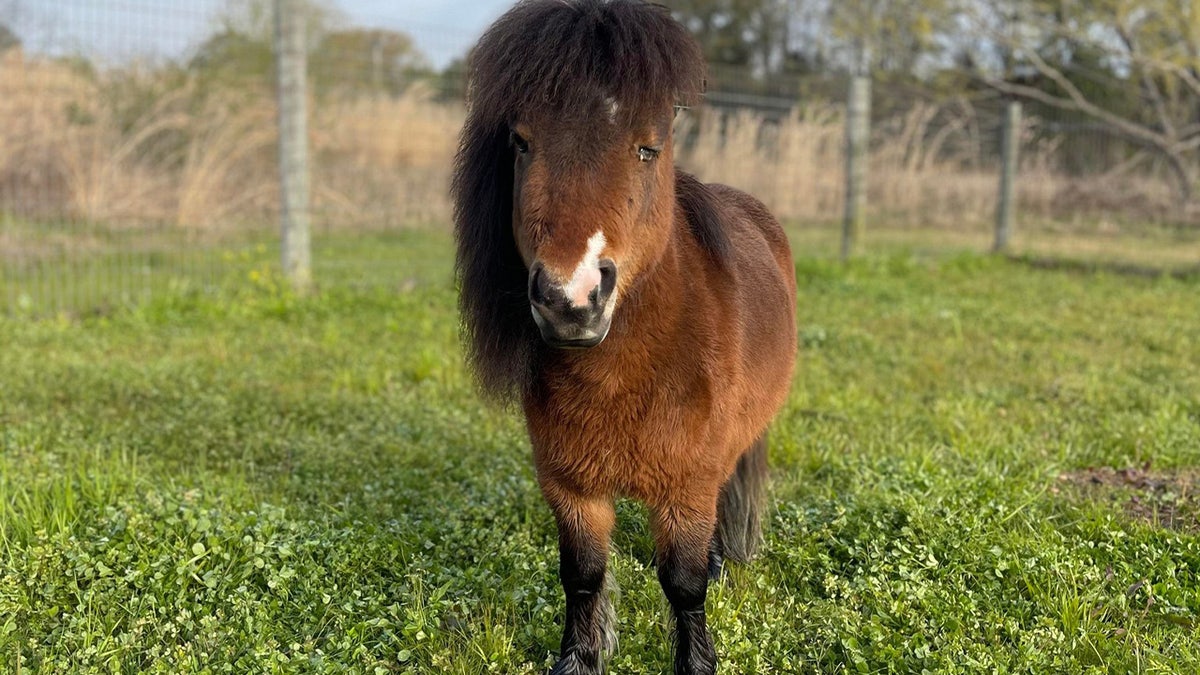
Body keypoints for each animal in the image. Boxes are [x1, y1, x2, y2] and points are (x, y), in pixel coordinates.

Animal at [451, 2, 796, 667]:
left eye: (647, 148)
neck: (624, 375)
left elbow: (683, 583)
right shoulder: (571, 488)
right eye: (521, 143)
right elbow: (583, 575)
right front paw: (580, 659)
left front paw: (697, 661)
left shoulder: (687, 488)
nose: (571, 298)